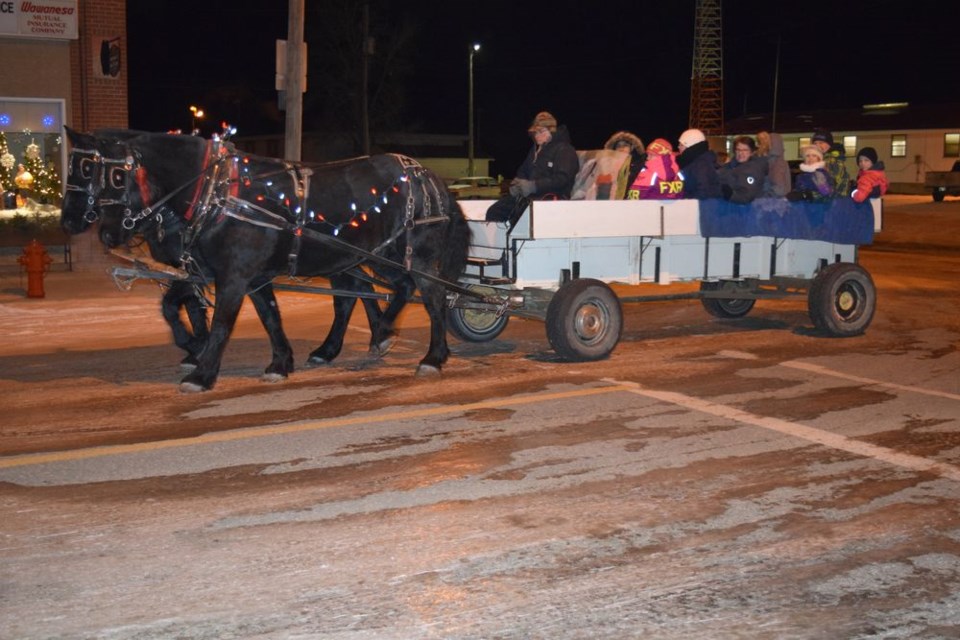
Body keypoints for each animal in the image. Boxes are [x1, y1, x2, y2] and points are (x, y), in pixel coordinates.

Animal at [60, 128, 472, 392]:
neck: (214, 192)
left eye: (113, 174)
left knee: (430, 298)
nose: (103, 232)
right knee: (374, 294)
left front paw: (201, 371)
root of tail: (429, 176)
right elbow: (265, 315)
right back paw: (362, 338)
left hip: (410, 256)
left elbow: (221, 323)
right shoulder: (239, 275)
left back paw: (430, 355)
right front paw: (278, 362)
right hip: (367, 257)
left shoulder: (233, 276)